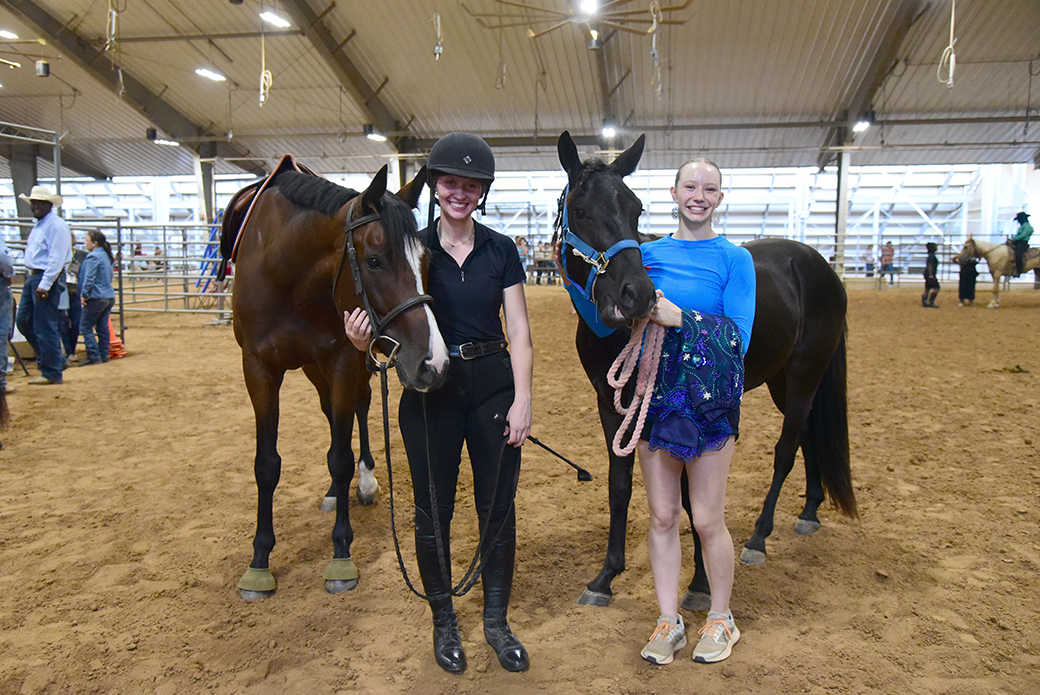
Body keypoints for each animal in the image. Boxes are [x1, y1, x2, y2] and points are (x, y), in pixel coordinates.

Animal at [219, 160, 447, 599]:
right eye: (374, 260)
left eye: (426, 260)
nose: (435, 362)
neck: (284, 270)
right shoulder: (257, 369)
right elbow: (266, 464)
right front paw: (259, 562)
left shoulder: (341, 359)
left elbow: (341, 456)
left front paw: (341, 556)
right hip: (312, 367)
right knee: (329, 414)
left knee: (358, 407)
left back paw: (367, 481)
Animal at [557, 130, 856, 607]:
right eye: (581, 210)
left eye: (636, 208)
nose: (637, 296)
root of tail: (821, 267)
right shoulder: (611, 404)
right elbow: (619, 486)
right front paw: (605, 577)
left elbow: (689, 495)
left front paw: (699, 581)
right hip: (784, 381)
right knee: (809, 433)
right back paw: (809, 510)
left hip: (805, 375)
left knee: (786, 448)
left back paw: (759, 537)